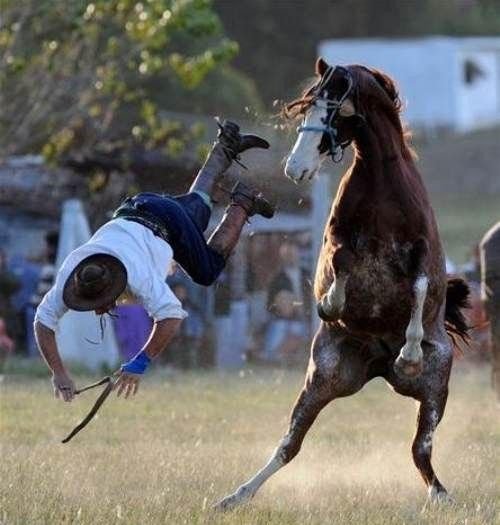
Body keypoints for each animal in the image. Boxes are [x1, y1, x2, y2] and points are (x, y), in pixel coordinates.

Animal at [217, 59, 470, 510]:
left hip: (435, 388)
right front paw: (331, 305)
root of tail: (378, 365)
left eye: (336, 110)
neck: (383, 184)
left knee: (420, 451)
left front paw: (409, 352)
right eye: (308, 106)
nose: (294, 168)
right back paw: (237, 495)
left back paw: (441, 495)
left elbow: (421, 286)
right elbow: (340, 262)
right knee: (289, 444)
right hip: (324, 378)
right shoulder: (336, 236)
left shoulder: (422, 250)